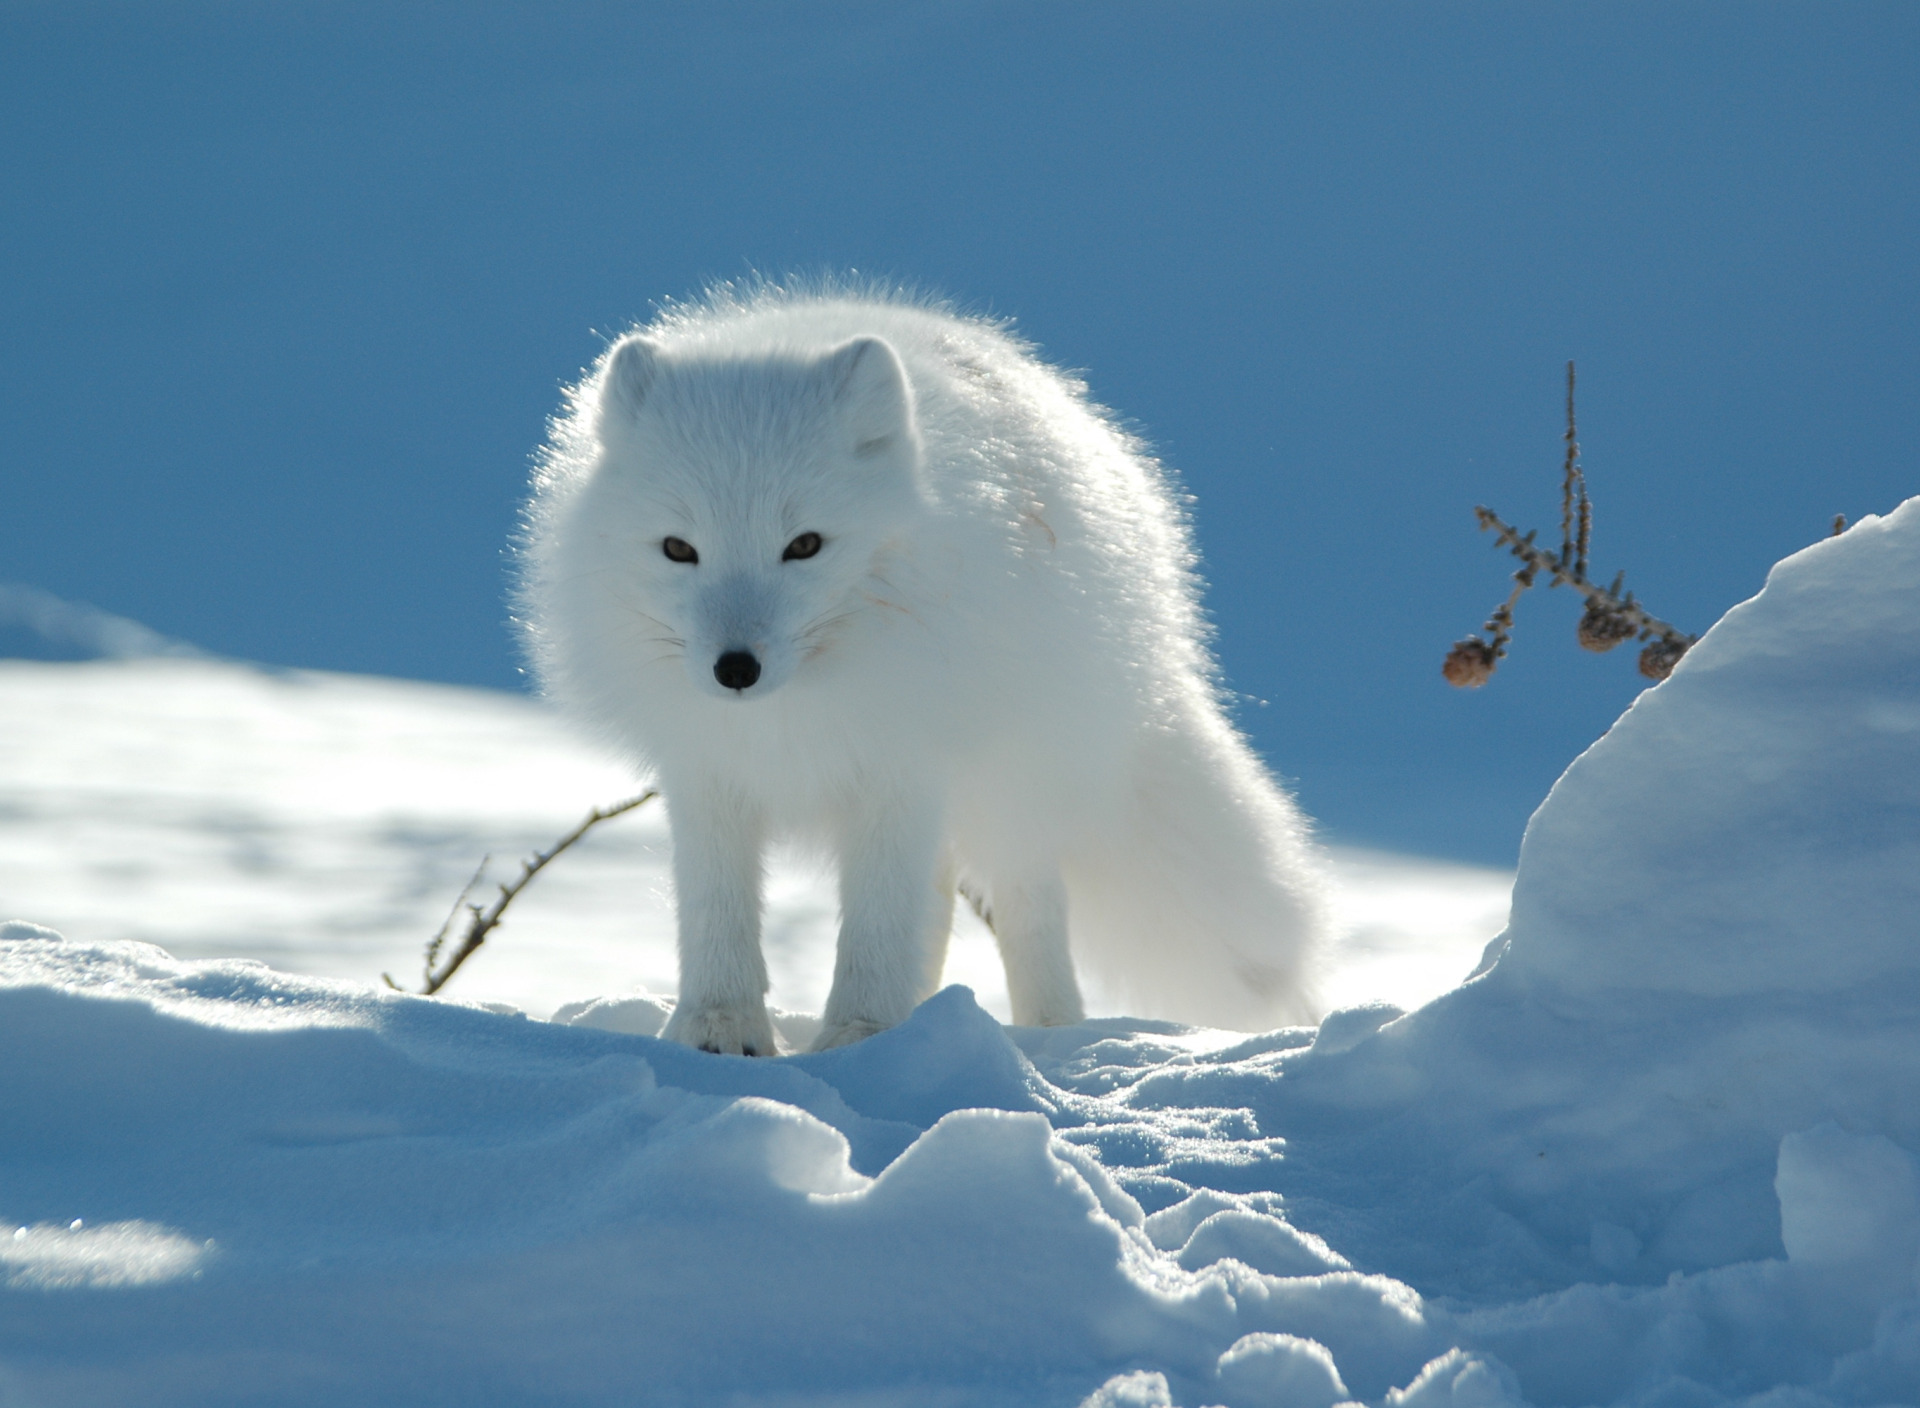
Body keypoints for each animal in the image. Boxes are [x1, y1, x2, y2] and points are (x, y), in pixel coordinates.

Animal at [518, 286, 1328, 1052]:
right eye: (678, 549)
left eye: (804, 545)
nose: (735, 669)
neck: (793, 713)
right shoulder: (707, 772)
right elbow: (717, 911)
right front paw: (719, 1029)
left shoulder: (901, 766)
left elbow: (878, 924)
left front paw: (860, 1036)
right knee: (936, 904)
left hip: (1013, 784)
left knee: (1027, 905)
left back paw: (1049, 1034)